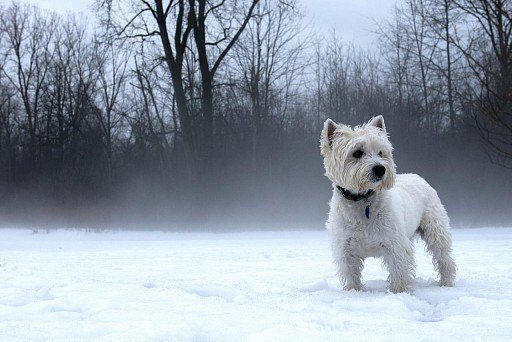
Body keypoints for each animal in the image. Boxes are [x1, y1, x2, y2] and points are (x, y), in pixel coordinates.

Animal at [320, 116, 456, 292]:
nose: (380, 169)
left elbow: (398, 272)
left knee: (444, 258)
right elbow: (351, 274)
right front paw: (353, 292)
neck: (362, 200)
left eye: (380, 152)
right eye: (357, 153)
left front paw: (399, 293)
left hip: (435, 229)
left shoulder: (395, 245)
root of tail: (418, 176)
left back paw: (446, 283)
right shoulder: (345, 248)